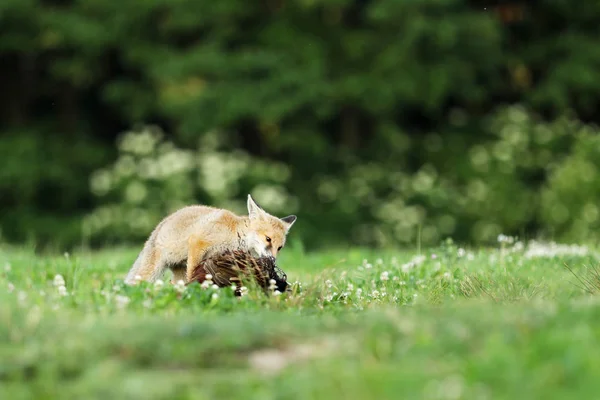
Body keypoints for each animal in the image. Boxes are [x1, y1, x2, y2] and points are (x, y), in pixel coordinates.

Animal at [125, 195, 298, 284]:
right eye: (268, 239)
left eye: (280, 247)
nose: (273, 260)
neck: (235, 233)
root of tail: (157, 228)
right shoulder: (198, 242)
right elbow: (192, 273)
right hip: (151, 272)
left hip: (177, 270)